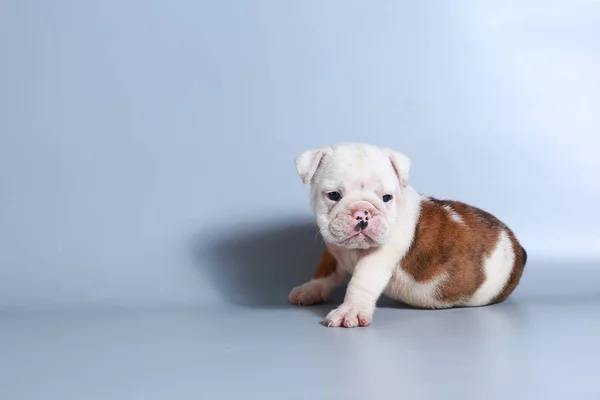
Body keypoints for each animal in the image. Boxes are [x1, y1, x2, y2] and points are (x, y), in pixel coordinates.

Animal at [288, 143, 528, 328]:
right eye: (333, 195)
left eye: (386, 197)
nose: (363, 213)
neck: (351, 250)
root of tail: (517, 247)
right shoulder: (333, 250)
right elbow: (325, 271)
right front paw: (310, 289)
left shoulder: (378, 257)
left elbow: (361, 281)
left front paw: (351, 310)